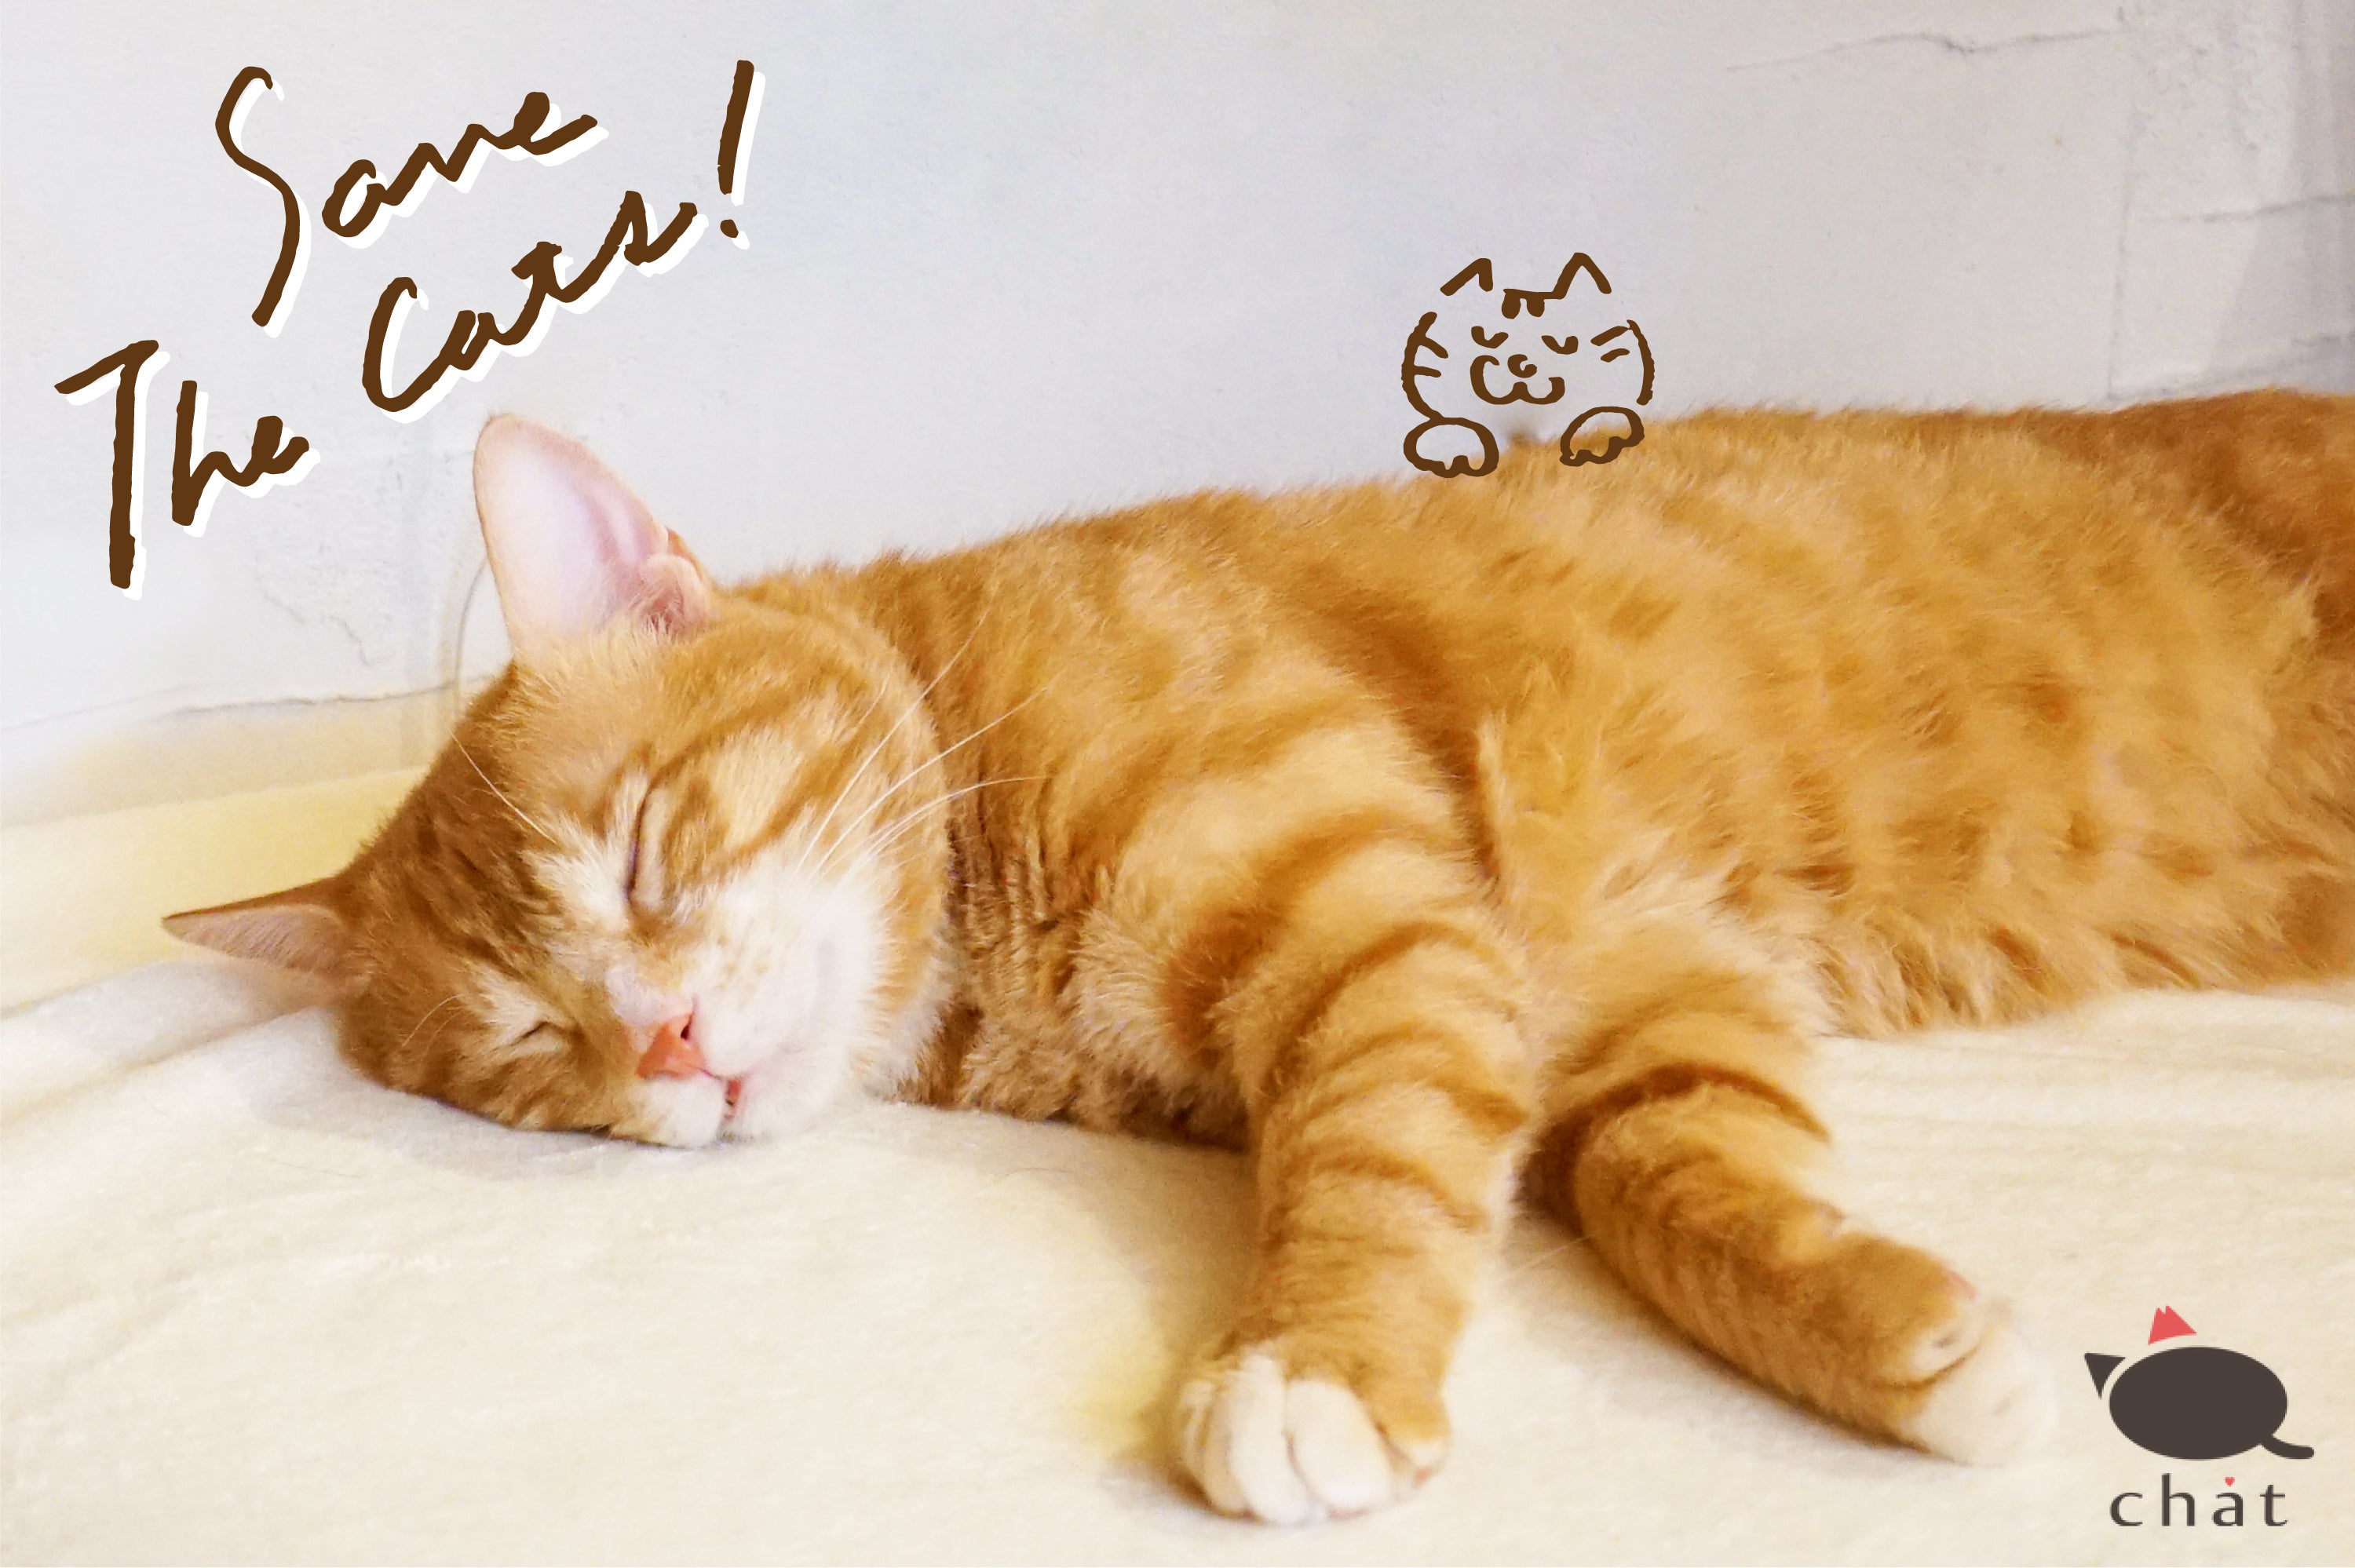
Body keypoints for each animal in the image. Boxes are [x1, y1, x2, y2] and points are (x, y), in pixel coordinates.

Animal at [166, 392, 2355, 1525]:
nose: (672, 1041)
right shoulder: (1642, 1007)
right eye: (532, 1046)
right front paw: (1894, 1333)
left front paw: (1310, 1368)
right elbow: (1688, 1188)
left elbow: (1369, 1171)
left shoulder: (1384, 934)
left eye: (640, 851)